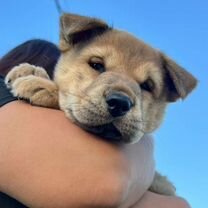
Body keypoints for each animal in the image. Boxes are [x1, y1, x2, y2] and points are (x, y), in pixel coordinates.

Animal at [4, 13, 197, 202]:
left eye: (147, 86)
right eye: (97, 65)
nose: (120, 103)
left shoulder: (161, 185)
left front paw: (40, 85)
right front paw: (32, 71)